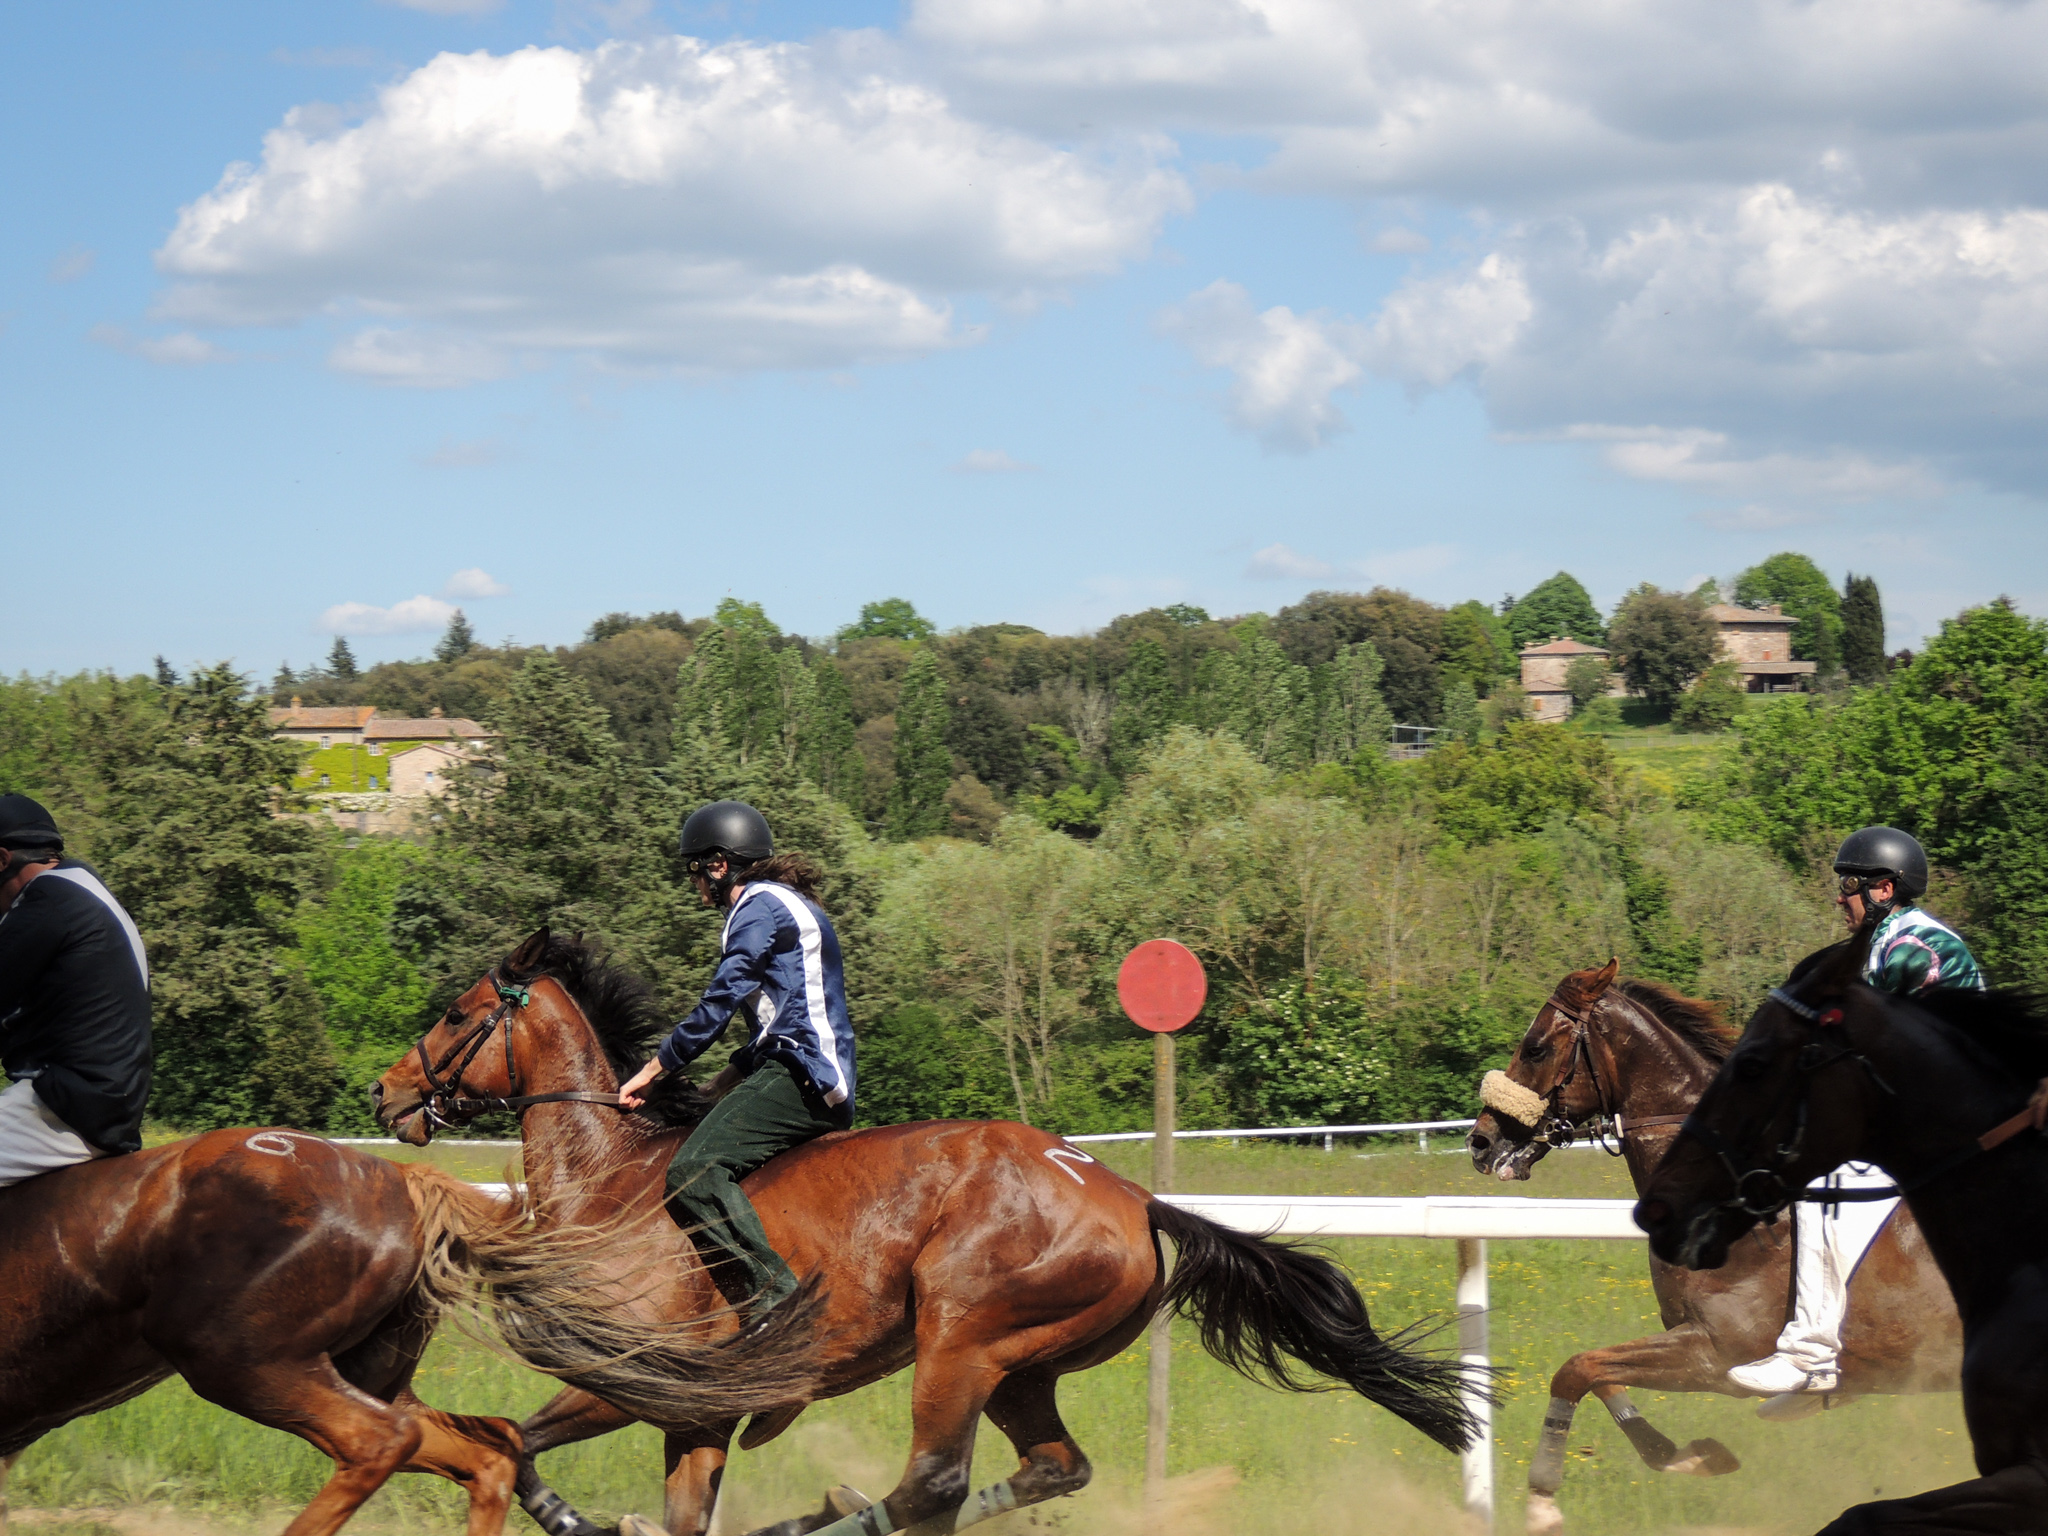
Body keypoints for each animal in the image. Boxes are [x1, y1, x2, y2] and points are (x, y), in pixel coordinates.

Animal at [370, 929, 1484, 1536]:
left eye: (456, 1012)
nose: (385, 1094)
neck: (612, 1181)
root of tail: (1131, 1196)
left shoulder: (636, 1378)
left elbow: (510, 1438)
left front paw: (577, 1515)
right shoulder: (693, 1416)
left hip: (961, 1334)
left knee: (931, 1482)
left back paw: (820, 1513)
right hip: (1022, 1363)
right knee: (1047, 1468)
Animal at [1466, 959, 1961, 1535]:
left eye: (1536, 1047)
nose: (1480, 1142)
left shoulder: (1720, 1353)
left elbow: (1577, 1369)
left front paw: (1543, 1499)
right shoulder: (1690, 1340)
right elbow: (1593, 1369)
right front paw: (1686, 1456)